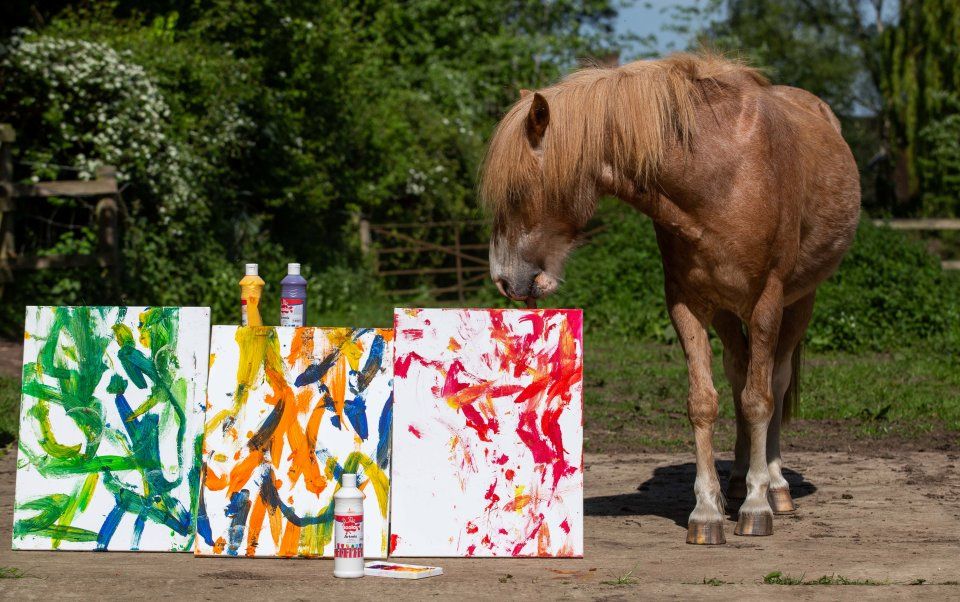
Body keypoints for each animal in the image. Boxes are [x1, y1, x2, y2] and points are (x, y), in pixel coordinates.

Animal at [480, 53, 860, 545]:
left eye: (518, 190)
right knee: (738, 374)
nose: (504, 280)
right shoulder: (686, 303)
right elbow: (704, 402)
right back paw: (736, 481)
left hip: (799, 302)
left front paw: (756, 507)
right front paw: (707, 512)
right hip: (726, 311)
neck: (720, 176)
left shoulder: (767, 302)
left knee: (772, 382)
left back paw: (774, 487)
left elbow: (760, 399)